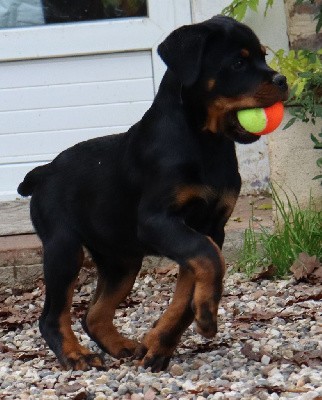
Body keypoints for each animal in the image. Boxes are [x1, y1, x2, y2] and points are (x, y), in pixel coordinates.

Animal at [18, 15, 288, 372]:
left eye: (263, 56)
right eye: (238, 62)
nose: (283, 80)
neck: (207, 144)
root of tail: (43, 171)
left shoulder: (209, 227)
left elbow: (189, 289)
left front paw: (161, 344)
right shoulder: (159, 221)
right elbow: (210, 259)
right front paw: (206, 314)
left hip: (121, 259)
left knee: (94, 315)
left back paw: (121, 346)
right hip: (64, 247)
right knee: (51, 316)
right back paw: (76, 355)